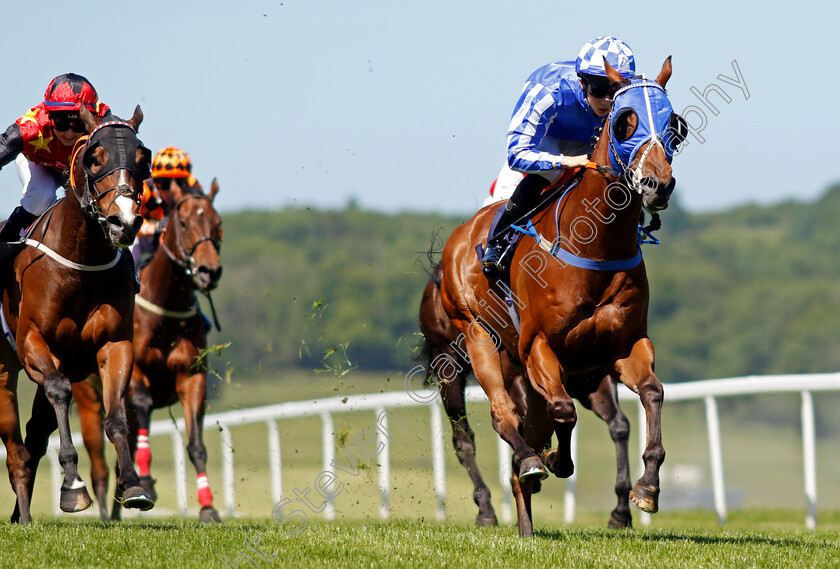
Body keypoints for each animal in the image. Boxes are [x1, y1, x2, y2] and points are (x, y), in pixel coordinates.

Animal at [0, 104, 154, 520]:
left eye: (143, 158)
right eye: (94, 158)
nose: (124, 222)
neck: (80, 262)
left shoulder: (114, 344)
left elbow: (116, 417)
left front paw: (134, 485)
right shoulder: (32, 343)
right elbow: (59, 390)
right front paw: (72, 484)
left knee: (33, 439)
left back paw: (21, 516)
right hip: (3, 370)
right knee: (16, 449)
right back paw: (24, 516)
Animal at [75, 178, 223, 520]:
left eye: (218, 224)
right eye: (184, 223)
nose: (209, 271)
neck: (165, 314)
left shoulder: (192, 377)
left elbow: (196, 445)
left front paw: (208, 507)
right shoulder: (135, 373)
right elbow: (141, 407)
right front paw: (146, 481)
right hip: (88, 398)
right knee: (100, 466)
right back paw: (107, 513)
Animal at [416, 266, 632, 528]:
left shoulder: (593, 382)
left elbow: (618, 425)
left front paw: (621, 511)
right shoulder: (519, 379)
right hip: (448, 366)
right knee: (463, 438)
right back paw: (486, 508)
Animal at [440, 58, 684, 536]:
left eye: (673, 125)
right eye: (626, 121)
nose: (656, 184)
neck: (595, 245)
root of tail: (460, 237)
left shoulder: (625, 347)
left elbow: (653, 393)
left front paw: (646, 488)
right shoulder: (538, 346)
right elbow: (563, 412)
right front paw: (554, 461)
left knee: (531, 430)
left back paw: (526, 519)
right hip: (479, 340)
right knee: (504, 417)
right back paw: (528, 467)